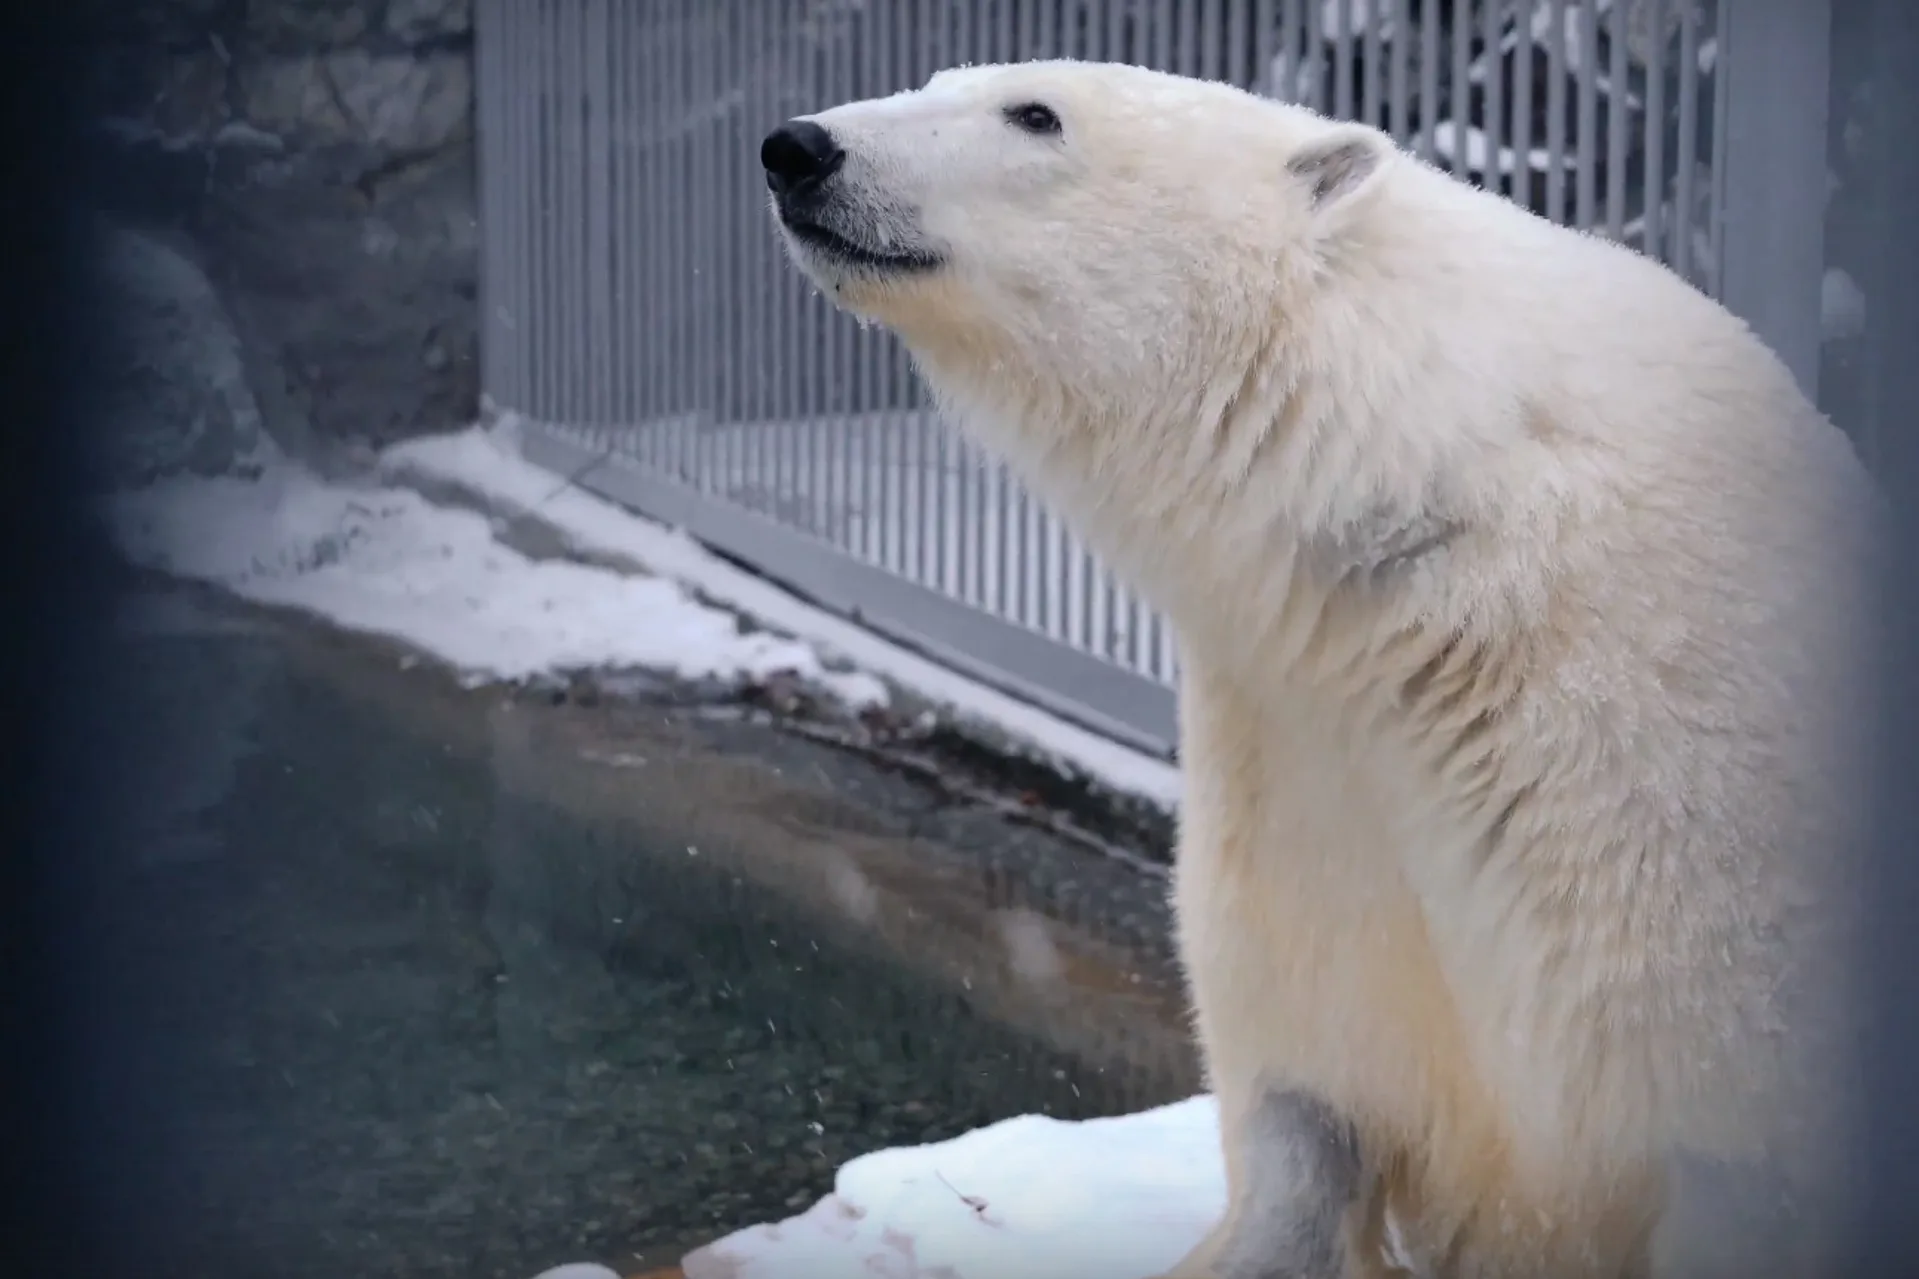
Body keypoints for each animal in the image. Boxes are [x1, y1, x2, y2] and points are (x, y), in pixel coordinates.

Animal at [759, 59, 1872, 1275]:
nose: (797, 148)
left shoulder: (1673, 808)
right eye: (938, 79)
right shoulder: (1302, 750)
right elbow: (1307, 1079)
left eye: (1034, 113)